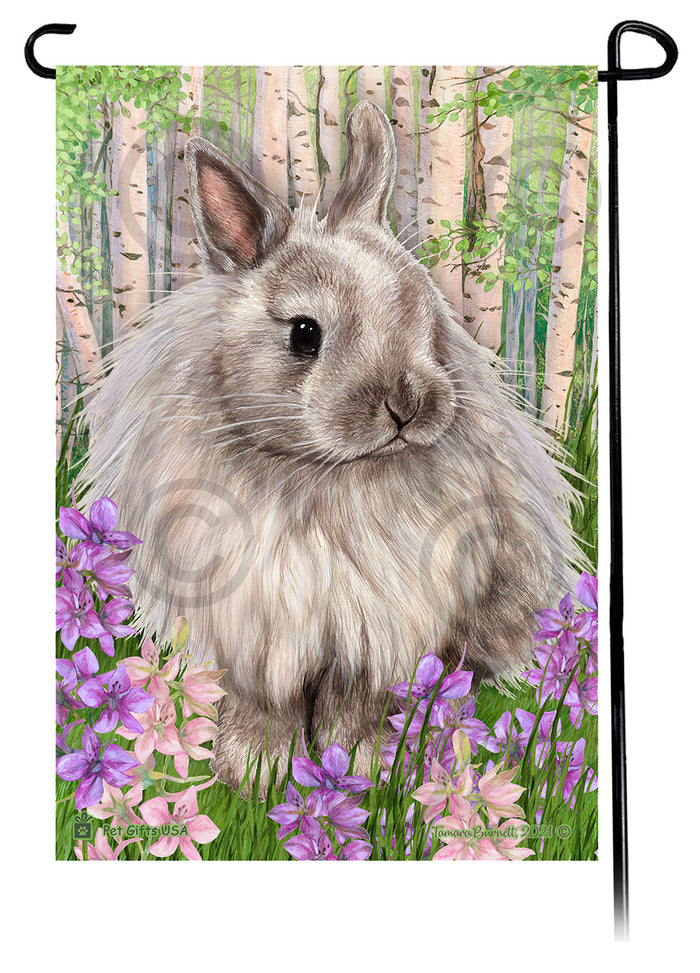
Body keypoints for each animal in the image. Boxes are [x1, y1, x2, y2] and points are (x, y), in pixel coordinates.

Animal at [81, 101, 581, 790]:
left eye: (424, 318)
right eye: (304, 334)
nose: (407, 405)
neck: (319, 475)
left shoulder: (378, 633)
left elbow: (359, 707)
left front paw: (369, 773)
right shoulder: (258, 635)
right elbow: (265, 707)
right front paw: (257, 775)